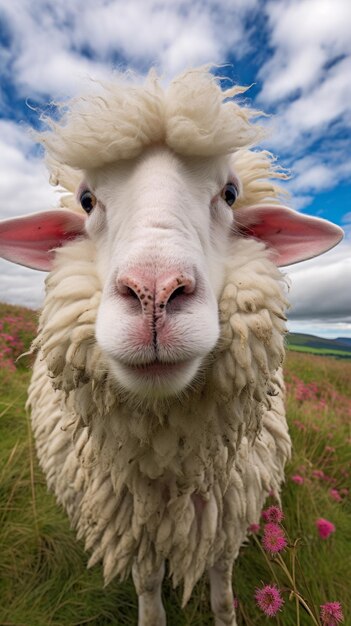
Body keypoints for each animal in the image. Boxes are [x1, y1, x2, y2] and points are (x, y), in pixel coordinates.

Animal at [0, 68, 344, 624]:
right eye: (87, 200)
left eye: (230, 193)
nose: (155, 294)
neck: (168, 463)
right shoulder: (135, 531)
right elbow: (148, 591)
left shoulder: (226, 518)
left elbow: (223, 591)